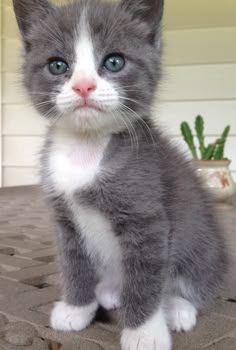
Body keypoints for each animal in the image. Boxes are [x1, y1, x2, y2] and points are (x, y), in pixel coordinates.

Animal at [12, 0, 227, 348]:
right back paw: (111, 291)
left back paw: (178, 308)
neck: (87, 148)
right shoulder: (64, 218)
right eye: (57, 66)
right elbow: (75, 264)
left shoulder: (147, 215)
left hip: (202, 244)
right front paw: (77, 309)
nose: (83, 86)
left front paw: (144, 332)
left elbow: (145, 277)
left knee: (197, 283)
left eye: (114, 62)